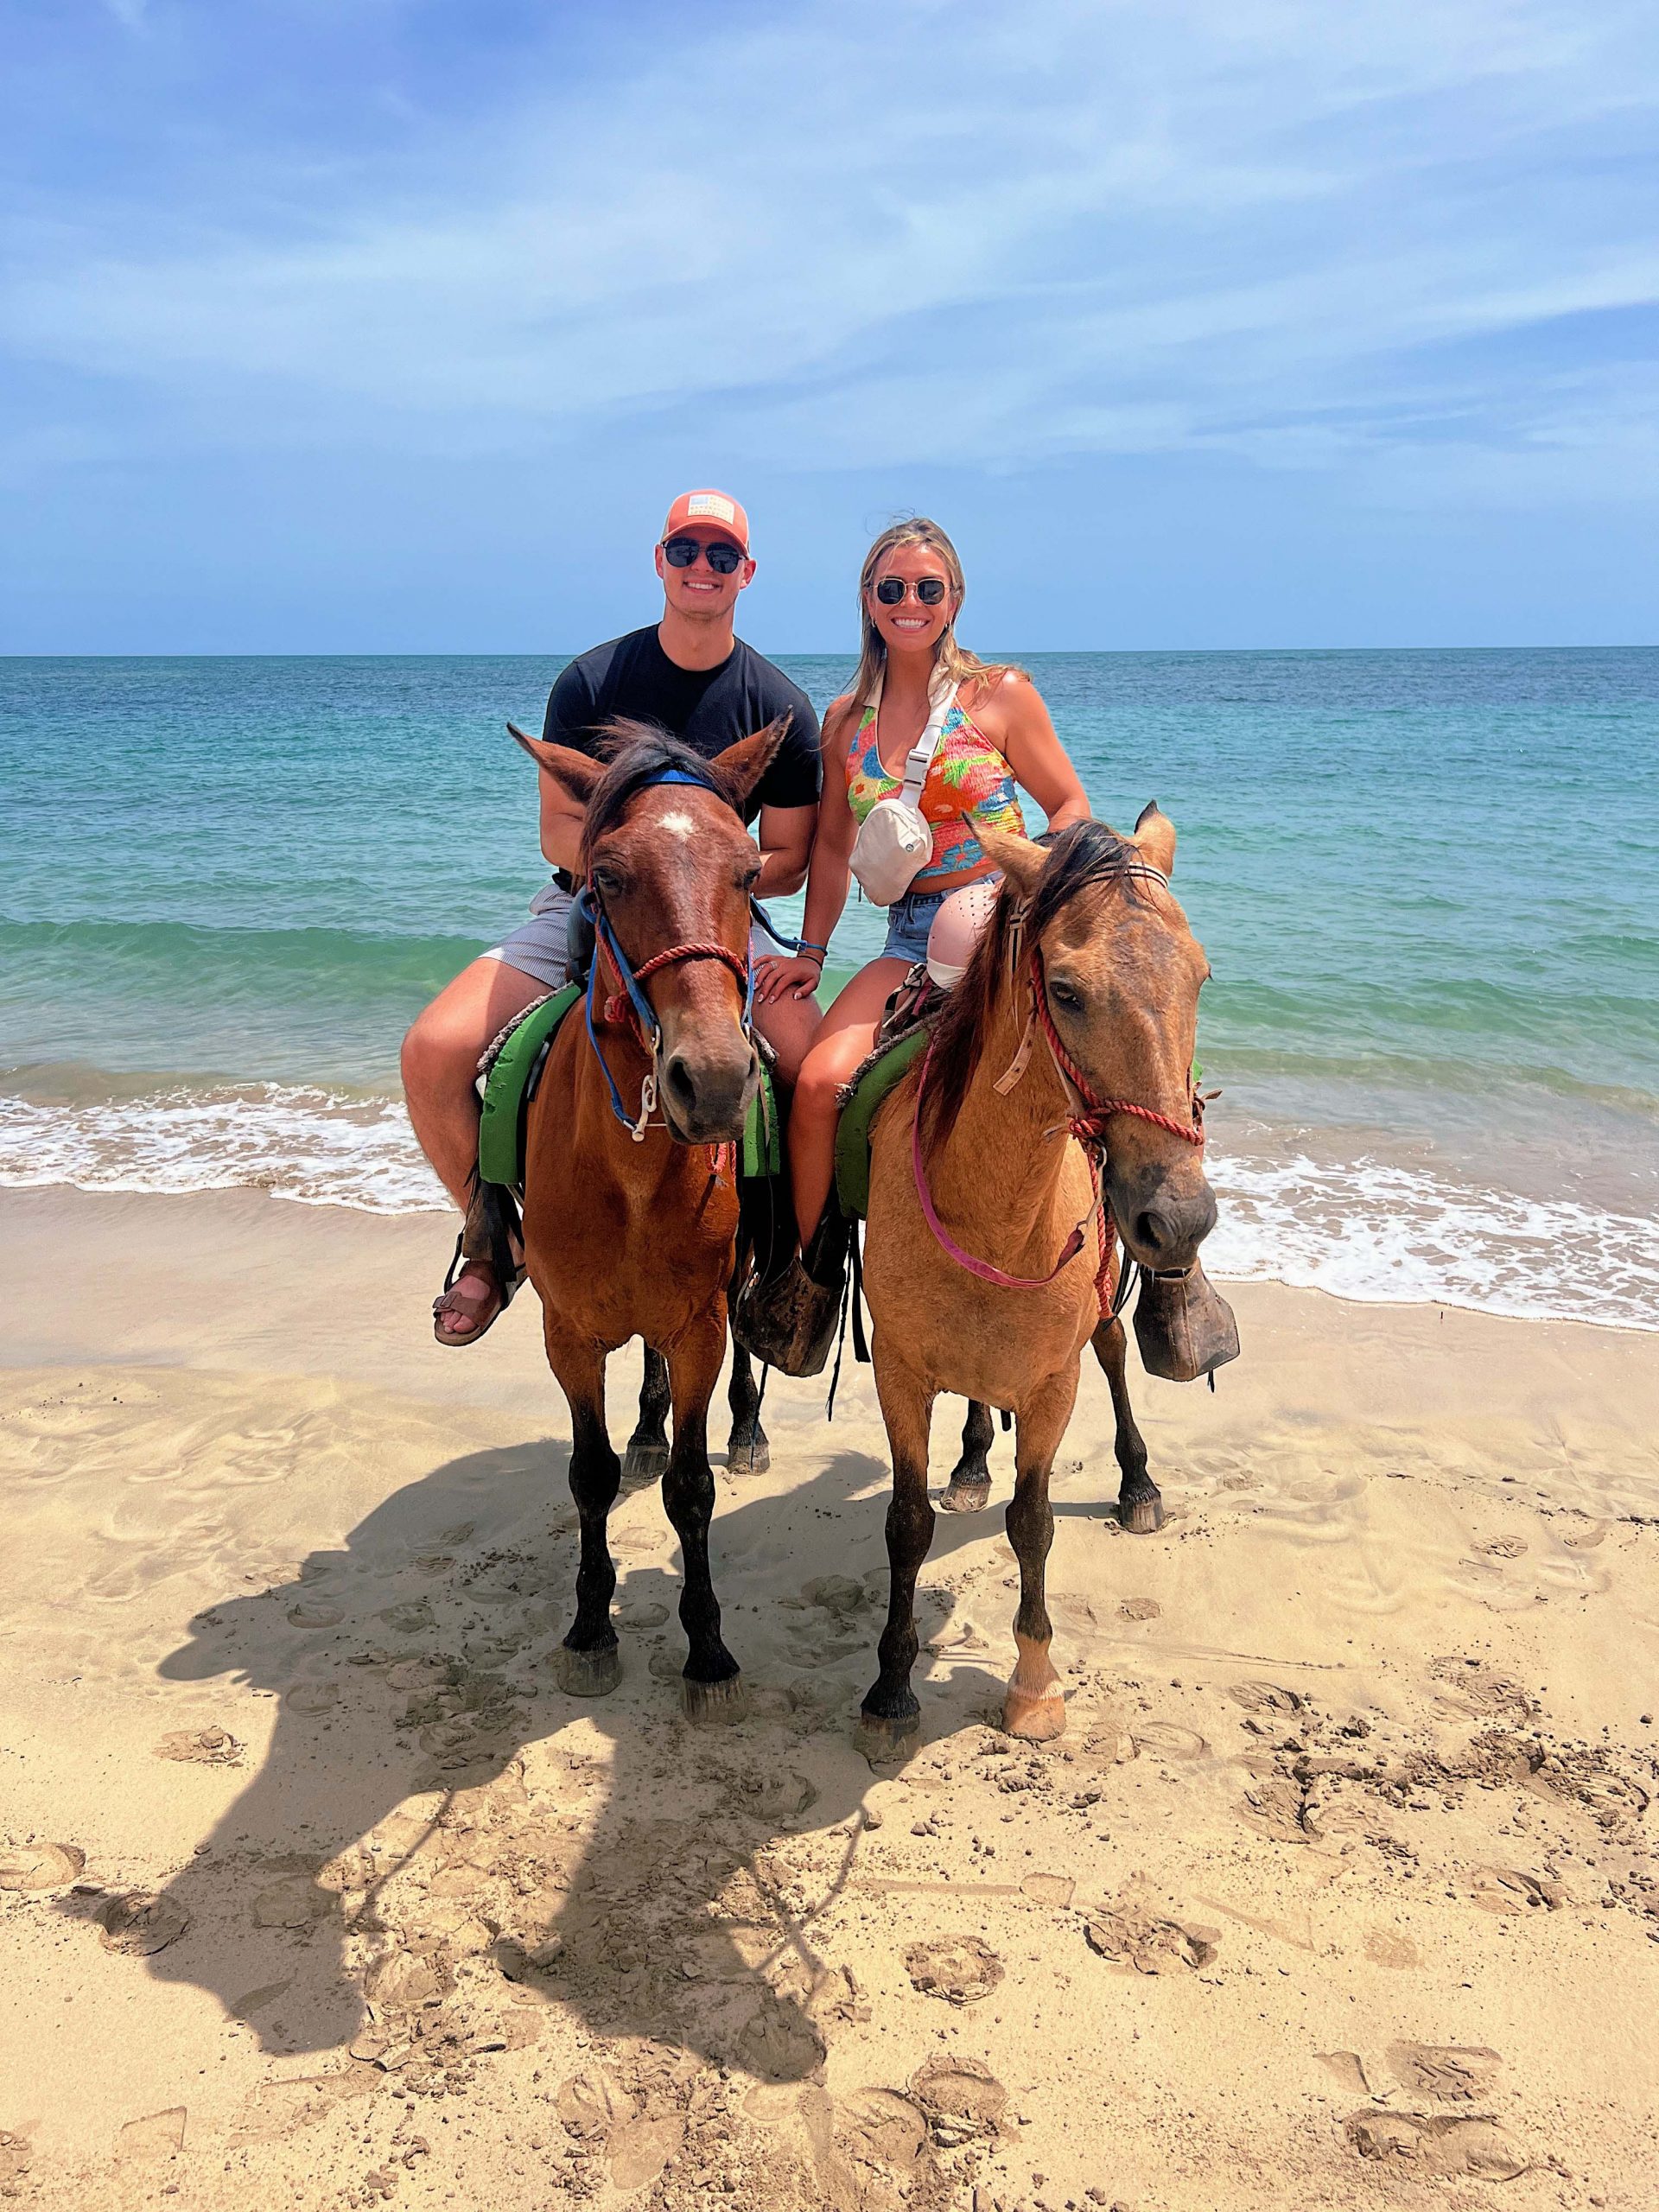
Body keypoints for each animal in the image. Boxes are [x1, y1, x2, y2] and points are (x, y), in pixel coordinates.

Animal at [504, 716, 787, 1716]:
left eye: (749, 871)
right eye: (607, 878)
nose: (712, 1082)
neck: (627, 1173)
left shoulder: (698, 1323)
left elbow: (694, 1490)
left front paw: (707, 1647)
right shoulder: (568, 1333)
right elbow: (587, 1475)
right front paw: (590, 1628)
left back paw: (746, 1430)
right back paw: (645, 1431)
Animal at [858, 804, 1221, 1751]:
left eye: (1201, 977)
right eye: (1065, 990)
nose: (1180, 1219)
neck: (994, 1209)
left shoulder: (1054, 1382)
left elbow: (1033, 1520)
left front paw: (1033, 1684)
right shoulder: (899, 1371)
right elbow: (904, 1522)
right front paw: (890, 1685)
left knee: (1117, 1351)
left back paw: (1138, 1486)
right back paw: (971, 1461)